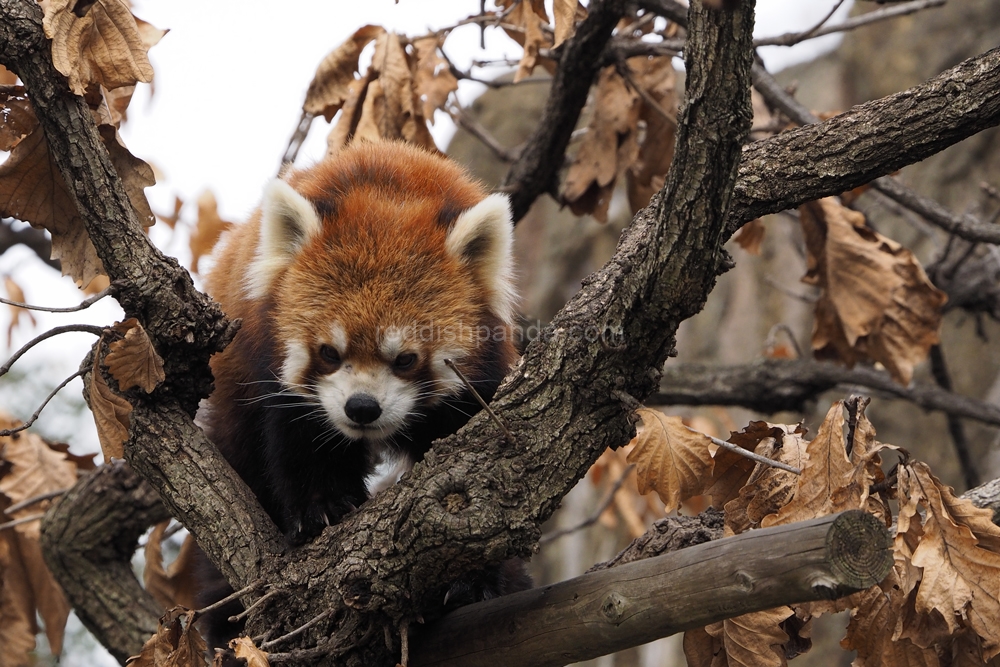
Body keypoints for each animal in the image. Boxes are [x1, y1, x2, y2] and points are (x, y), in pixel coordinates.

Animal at [191, 140, 528, 648]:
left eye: (405, 359)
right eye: (330, 352)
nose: (362, 408)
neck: (386, 191)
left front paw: (478, 579)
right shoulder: (275, 374)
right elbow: (300, 440)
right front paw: (323, 510)